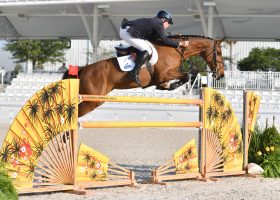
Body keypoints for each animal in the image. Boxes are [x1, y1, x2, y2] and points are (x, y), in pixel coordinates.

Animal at [62, 35, 224, 118]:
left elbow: (186, 76)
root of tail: (83, 69)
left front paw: (165, 86)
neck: (175, 49)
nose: (221, 74)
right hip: (91, 101)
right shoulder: (164, 73)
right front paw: (170, 86)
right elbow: (187, 76)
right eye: (219, 53)